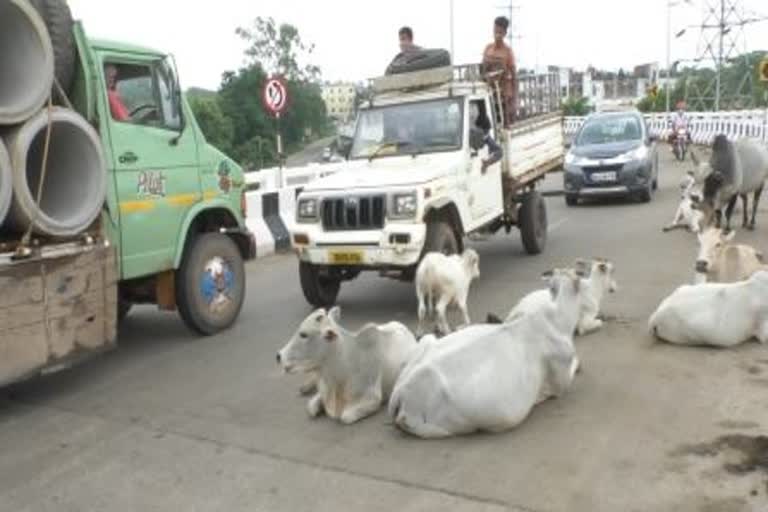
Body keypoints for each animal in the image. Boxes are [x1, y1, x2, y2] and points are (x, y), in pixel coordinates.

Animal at [388, 266, 584, 438]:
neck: (556, 318)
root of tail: (401, 390)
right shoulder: (561, 382)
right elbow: (572, 368)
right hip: (453, 424)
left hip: (427, 341)